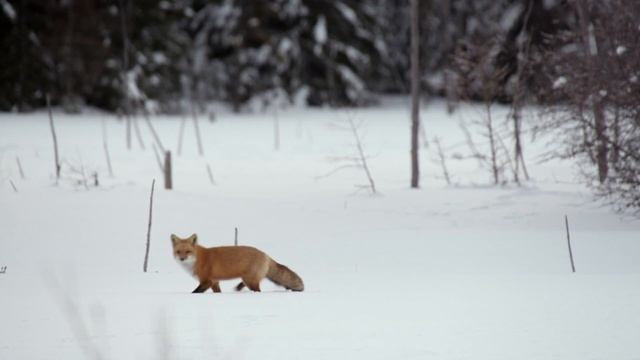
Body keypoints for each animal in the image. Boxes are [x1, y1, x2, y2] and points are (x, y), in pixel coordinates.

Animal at [171, 233, 304, 292]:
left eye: (188, 251)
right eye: (178, 252)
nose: (182, 259)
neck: (198, 259)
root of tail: (265, 254)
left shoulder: (207, 281)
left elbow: (194, 292)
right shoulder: (214, 282)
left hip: (251, 280)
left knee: (257, 291)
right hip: (249, 279)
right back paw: (238, 288)